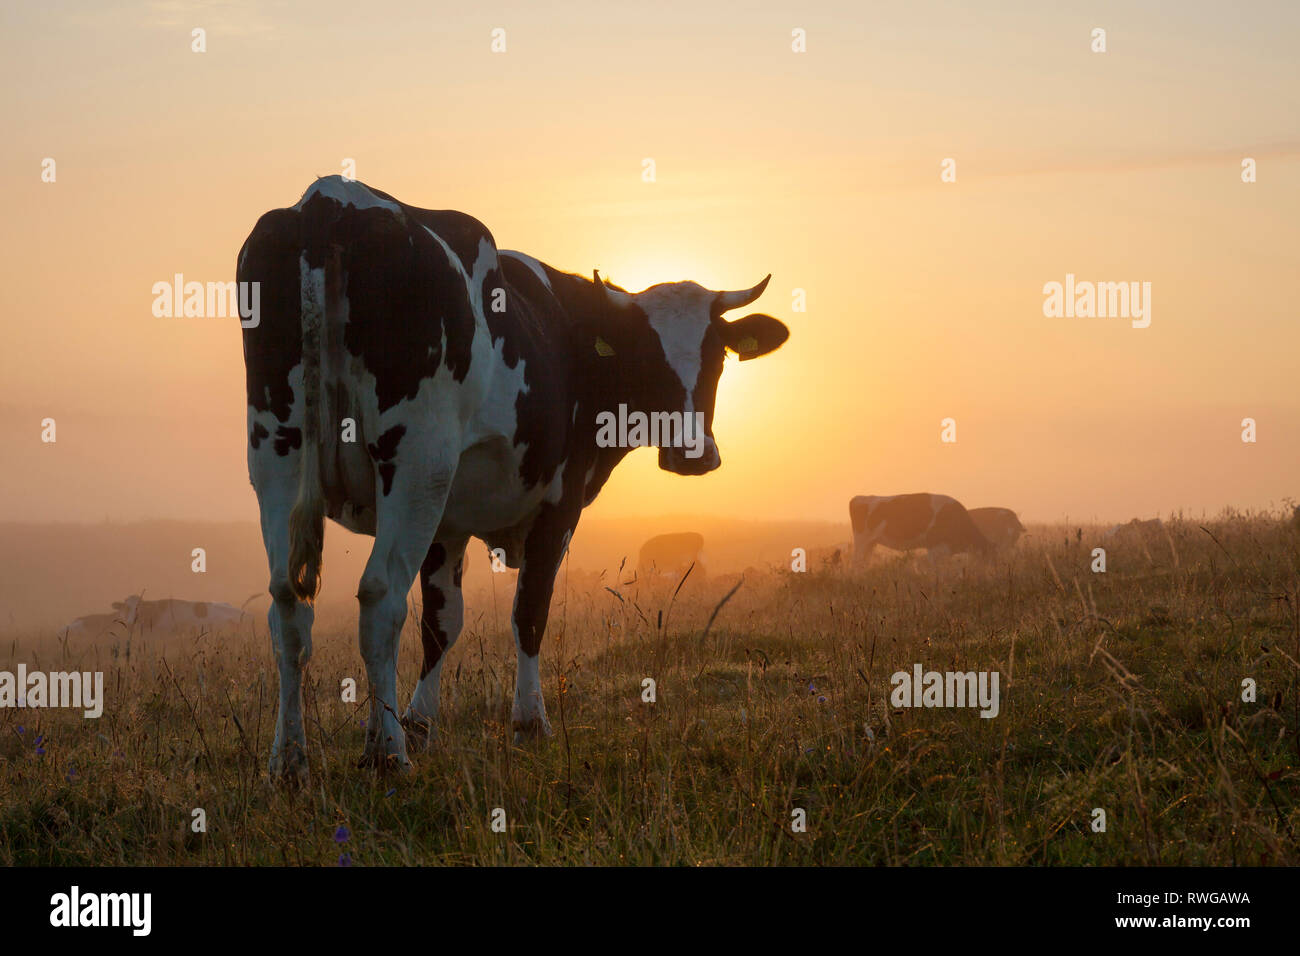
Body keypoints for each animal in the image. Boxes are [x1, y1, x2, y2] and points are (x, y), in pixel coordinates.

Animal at [237, 175, 785, 780]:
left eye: (717, 356)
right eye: (648, 356)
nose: (691, 454)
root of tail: (333, 199)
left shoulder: (448, 523)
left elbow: (442, 624)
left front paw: (420, 722)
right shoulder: (557, 504)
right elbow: (529, 613)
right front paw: (527, 722)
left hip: (278, 452)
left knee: (288, 603)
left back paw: (290, 759)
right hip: (416, 463)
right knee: (379, 598)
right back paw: (385, 754)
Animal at [847, 494, 987, 567]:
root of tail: (859, 497)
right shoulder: (935, 548)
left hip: (870, 544)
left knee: (864, 563)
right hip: (862, 542)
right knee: (856, 563)